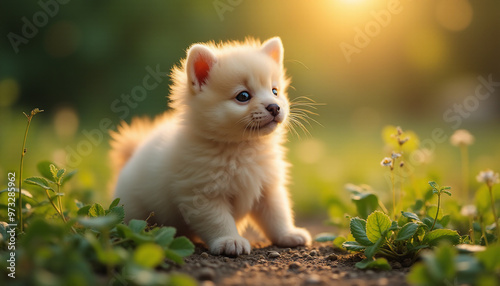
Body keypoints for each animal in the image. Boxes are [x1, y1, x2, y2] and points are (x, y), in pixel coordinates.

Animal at [111, 37, 310, 255]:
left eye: (275, 91)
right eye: (243, 96)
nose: (275, 107)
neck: (241, 147)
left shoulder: (267, 187)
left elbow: (277, 214)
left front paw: (288, 235)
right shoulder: (202, 194)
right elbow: (218, 220)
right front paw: (230, 241)